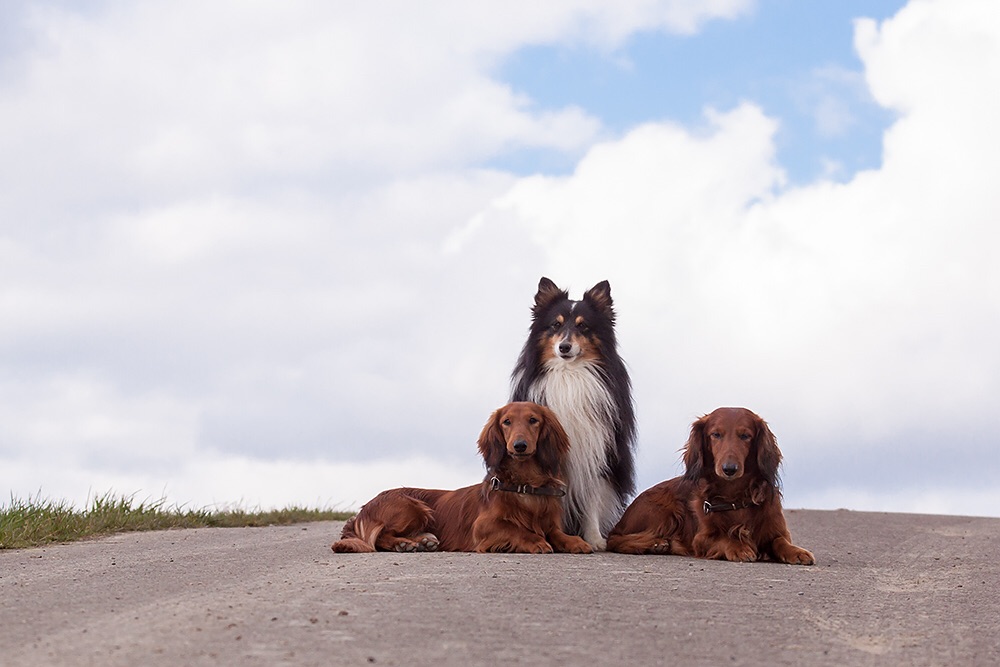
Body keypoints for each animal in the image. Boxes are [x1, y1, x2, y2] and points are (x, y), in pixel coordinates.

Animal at [328, 404, 592, 556]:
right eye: (506, 421)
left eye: (533, 420)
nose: (519, 445)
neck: (524, 485)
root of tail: (362, 511)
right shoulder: (483, 526)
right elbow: (517, 528)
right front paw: (536, 541)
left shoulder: (551, 523)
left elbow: (557, 533)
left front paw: (575, 542)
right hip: (411, 506)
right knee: (381, 535)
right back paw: (404, 544)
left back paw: (424, 541)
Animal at [512, 280, 636, 552]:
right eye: (555, 325)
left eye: (582, 326)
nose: (564, 347)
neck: (570, 375)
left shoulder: (597, 450)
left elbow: (591, 498)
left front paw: (594, 539)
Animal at [608, 404, 812, 568]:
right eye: (716, 435)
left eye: (745, 436)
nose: (729, 469)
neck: (735, 497)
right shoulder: (702, 538)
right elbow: (723, 537)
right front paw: (738, 547)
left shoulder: (775, 530)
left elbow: (780, 541)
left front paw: (797, 552)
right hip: (665, 511)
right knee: (615, 539)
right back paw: (656, 544)